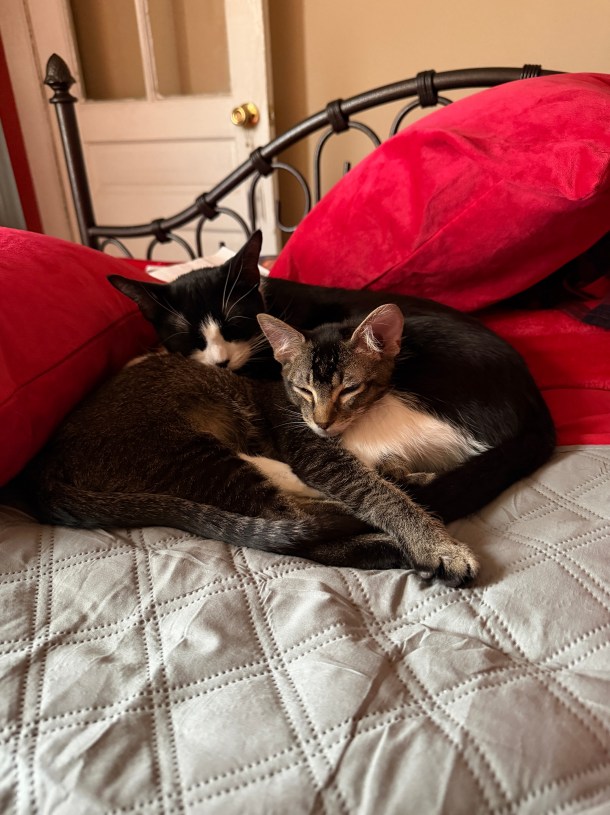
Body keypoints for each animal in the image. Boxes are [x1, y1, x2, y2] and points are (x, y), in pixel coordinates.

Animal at [22, 305, 478, 585]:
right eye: (304, 390)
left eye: (349, 388)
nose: (323, 421)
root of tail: (45, 463)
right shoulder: (313, 452)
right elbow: (376, 494)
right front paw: (435, 545)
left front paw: (401, 474)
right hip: (191, 455)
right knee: (294, 527)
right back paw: (383, 545)